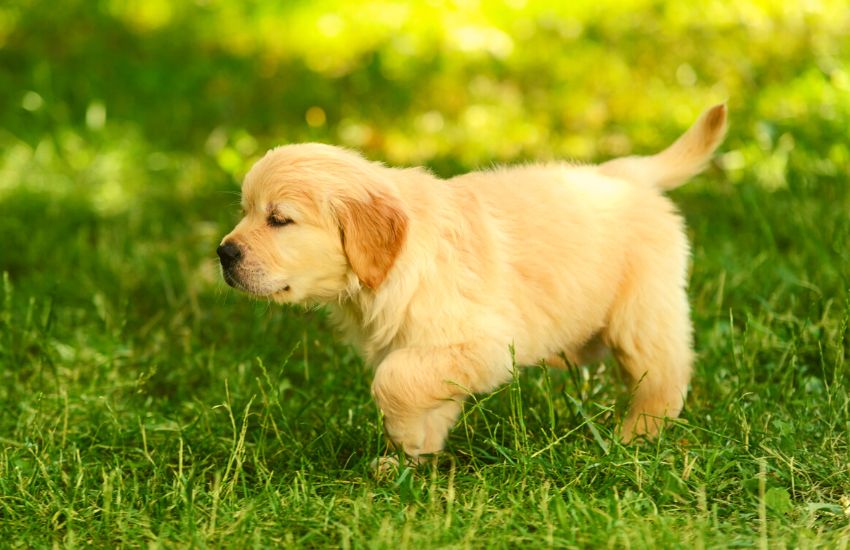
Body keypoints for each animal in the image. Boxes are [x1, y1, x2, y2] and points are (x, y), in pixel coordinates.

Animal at [217, 103, 724, 462]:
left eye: (279, 220)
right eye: (245, 211)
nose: (224, 253)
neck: (396, 263)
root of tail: (625, 173)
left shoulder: (482, 344)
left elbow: (392, 380)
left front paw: (402, 436)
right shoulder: (426, 348)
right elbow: (424, 393)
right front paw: (411, 457)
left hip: (642, 315)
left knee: (665, 377)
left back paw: (636, 436)